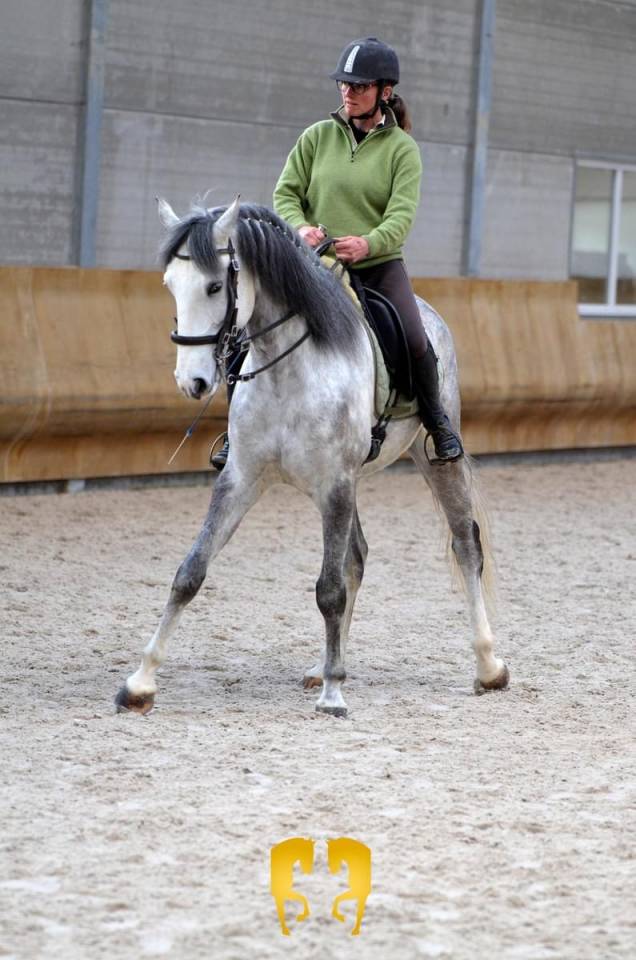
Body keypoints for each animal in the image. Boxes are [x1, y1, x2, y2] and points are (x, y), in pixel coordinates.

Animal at [114, 197, 509, 718]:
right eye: (169, 286)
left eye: (215, 286)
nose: (192, 382)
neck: (288, 368)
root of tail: (428, 313)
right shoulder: (242, 477)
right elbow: (190, 572)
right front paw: (139, 685)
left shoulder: (335, 483)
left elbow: (329, 590)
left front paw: (334, 695)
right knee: (357, 557)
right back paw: (325, 665)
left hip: (433, 460)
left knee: (465, 545)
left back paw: (488, 666)